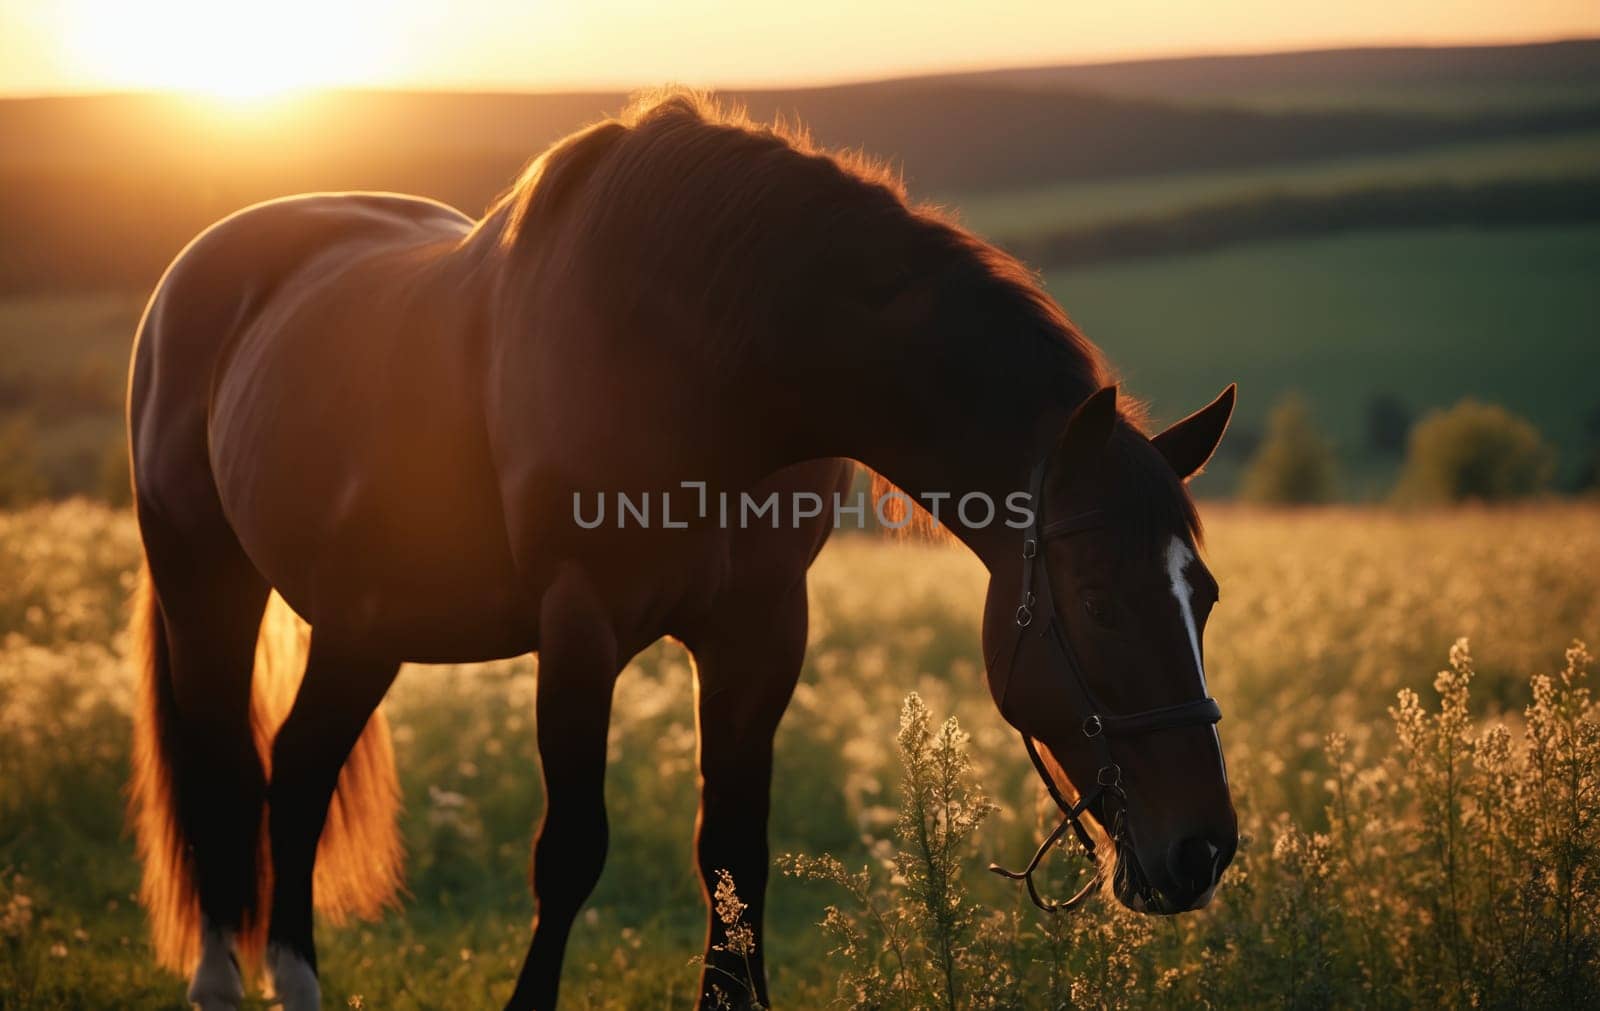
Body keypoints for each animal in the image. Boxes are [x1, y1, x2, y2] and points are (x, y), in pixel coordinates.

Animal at [128, 90, 1235, 1004]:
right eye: (1098, 602)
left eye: (1206, 598)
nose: (1204, 849)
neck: (707, 366)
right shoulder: (580, 626)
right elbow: (571, 850)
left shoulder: (759, 635)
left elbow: (733, 856)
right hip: (207, 588)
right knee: (224, 766)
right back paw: (220, 982)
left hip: (366, 626)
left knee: (298, 773)